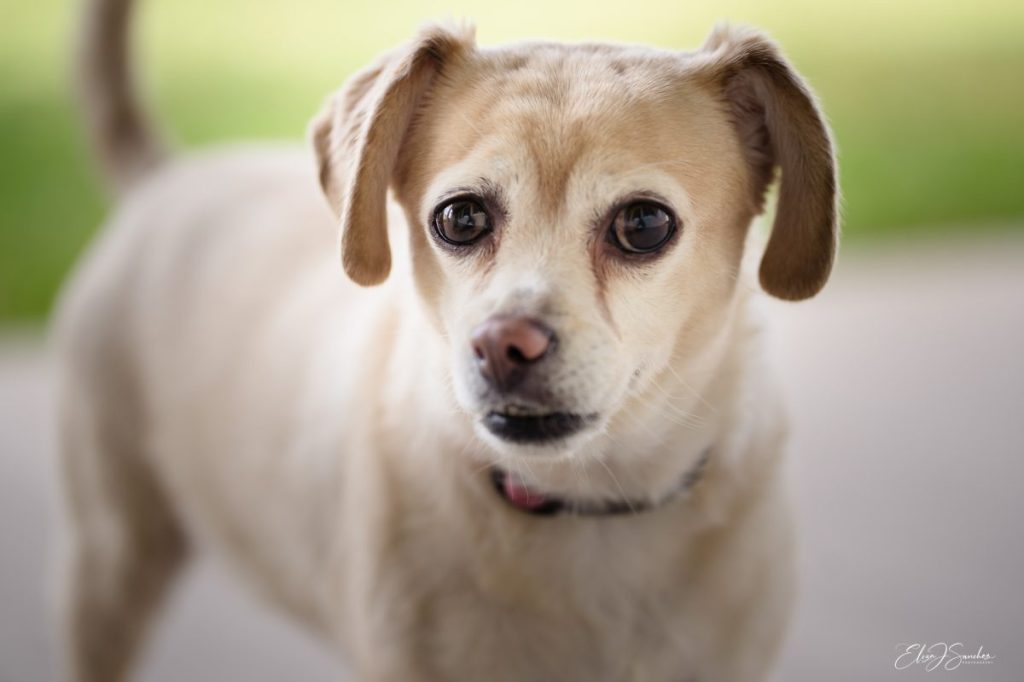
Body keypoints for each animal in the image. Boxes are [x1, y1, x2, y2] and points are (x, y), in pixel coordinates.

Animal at [56, 1, 835, 679]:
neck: (587, 505)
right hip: (110, 562)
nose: (503, 344)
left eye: (644, 225)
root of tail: (164, 179)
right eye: (460, 218)